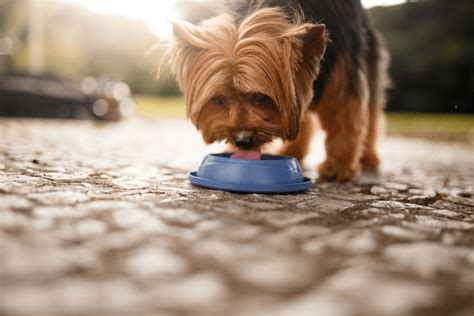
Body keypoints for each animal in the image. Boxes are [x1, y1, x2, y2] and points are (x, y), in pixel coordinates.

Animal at [163, 0, 388, 181]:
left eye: (261, 97)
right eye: (219, 100)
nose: (242, 141)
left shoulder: (344, 64)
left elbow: (344, 115)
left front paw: (339, 166)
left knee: (371, 114)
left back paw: (368, 157)